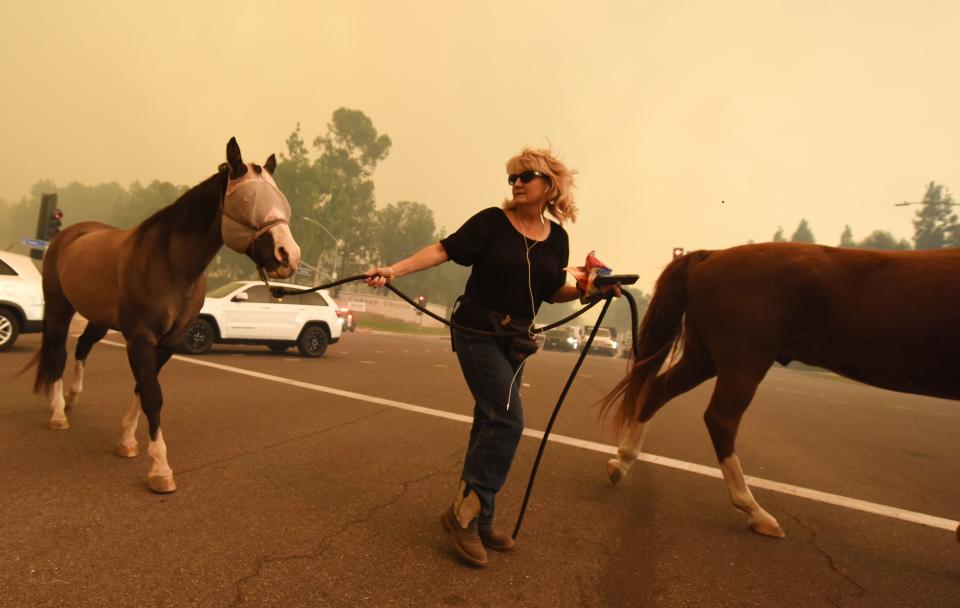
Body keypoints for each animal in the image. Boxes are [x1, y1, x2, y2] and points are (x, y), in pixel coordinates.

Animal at [27, 139, 300, 494]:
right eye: (248, 201)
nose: (288, 256)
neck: (169, 265)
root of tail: (69, 234)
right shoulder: (141, 339)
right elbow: (153, 396)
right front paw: (160, 468)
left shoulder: (169, 342)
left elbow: (142, 388)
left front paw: (127, 442)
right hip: (60, 306)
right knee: (58, 353)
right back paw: (59, 413)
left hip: (99, 319)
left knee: (83, 347)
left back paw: (72, 398)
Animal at [604, 245, 956, 540]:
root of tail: (712, 254)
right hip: (745, 359)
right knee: (721, 418)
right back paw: (754, 510)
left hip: (703, 356)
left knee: (658, 391)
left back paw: (622, 462)